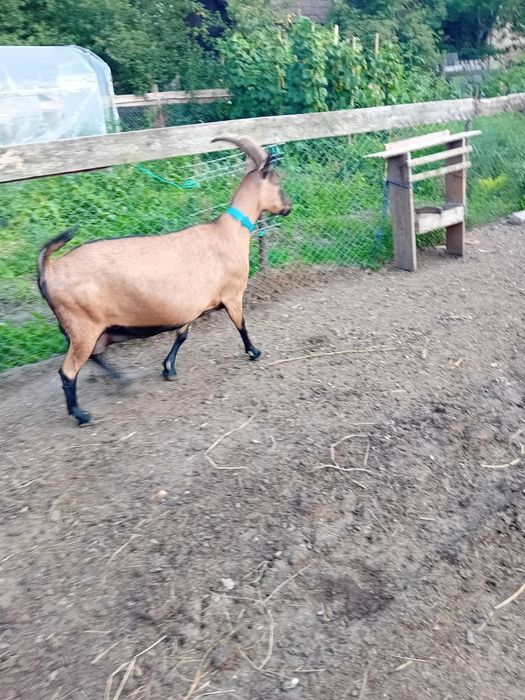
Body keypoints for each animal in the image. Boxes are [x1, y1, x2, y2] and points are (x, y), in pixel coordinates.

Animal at [37, 135, 292, 425]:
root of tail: (48, 268)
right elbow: (241, 325)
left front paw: (168, 368)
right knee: (68, 371)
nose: (289, 206)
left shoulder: (192, 304)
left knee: (95, 355)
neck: (228, 231)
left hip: (90, 329)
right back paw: (80, 414)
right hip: (83, 327)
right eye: (277, 182)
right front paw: (254, 352)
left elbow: (182, 335)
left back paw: (123, 380)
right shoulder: (233, 294)